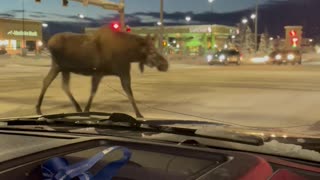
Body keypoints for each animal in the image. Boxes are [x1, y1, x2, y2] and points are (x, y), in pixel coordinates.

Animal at [36, 26, 169, 117]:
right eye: (151, 51)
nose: (165, 65)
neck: (130, 55)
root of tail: (48, 43)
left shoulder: (120, 73)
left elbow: (128, 93)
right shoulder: (101, 72)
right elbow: (95, 91)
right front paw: (139, 114)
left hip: (63, 68)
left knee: (60, 85)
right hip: (59, 66)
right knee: (51, 82)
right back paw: (39, 108)